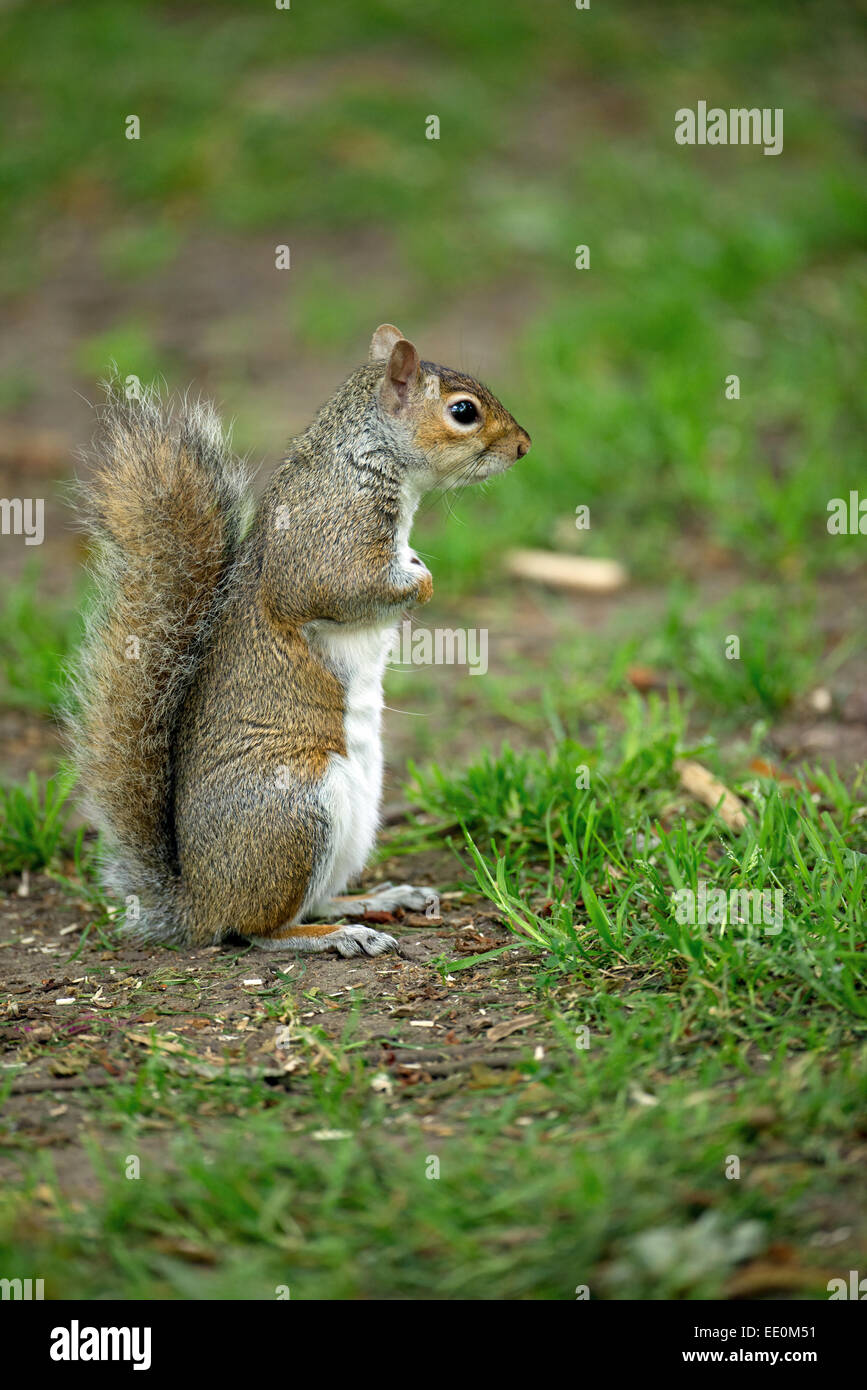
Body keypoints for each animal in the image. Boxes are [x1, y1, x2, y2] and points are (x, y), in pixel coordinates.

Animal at [69, 325, 527, 956]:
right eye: (463, 412)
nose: (524, 446)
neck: (364, 453)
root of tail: (199, 903)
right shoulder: (324, 538)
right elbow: (334, 590)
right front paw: (422, 582)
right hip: (297, 809)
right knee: (260, 929)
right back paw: (337, 935)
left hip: (354, 817)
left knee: (315, 897)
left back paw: (376, 900)